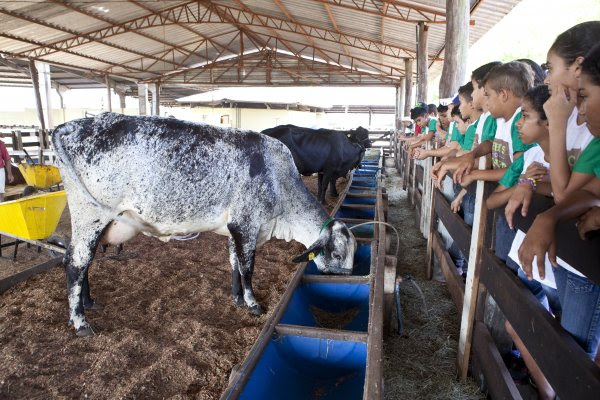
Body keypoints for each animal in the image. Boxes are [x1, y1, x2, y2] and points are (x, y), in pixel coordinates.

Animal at [51, 113, 356, 338]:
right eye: (337, 253)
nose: (343, 280)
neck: (279, 180)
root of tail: (71, 125)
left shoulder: (235, 229)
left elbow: (234, 263)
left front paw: (236, 298)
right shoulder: (246, 226)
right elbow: (247, 268)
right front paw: (252, 304)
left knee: (83, 261)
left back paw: (88, 303)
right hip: (90, 215)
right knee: (75, 262)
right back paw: (80, 322)